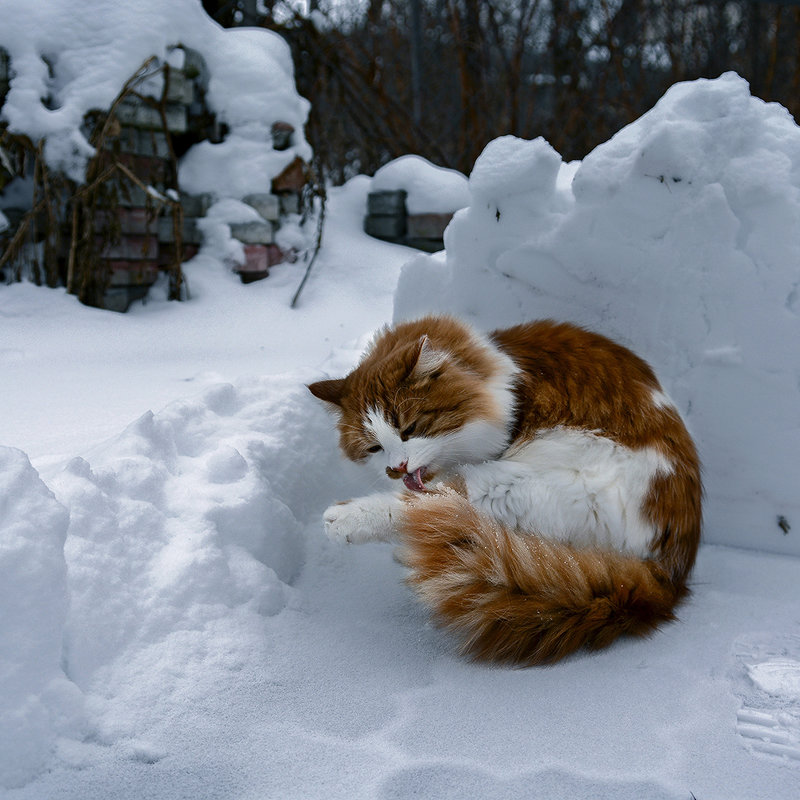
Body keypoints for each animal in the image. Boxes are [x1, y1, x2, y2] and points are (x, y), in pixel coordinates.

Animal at [308, 316, 700, 664]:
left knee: (433, 507)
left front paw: (343, 520)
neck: (504, 382)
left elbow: (415, 500)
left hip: (523, 485)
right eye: (374, 448)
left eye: (410, 428)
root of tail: (667, 575)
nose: (397, 468)